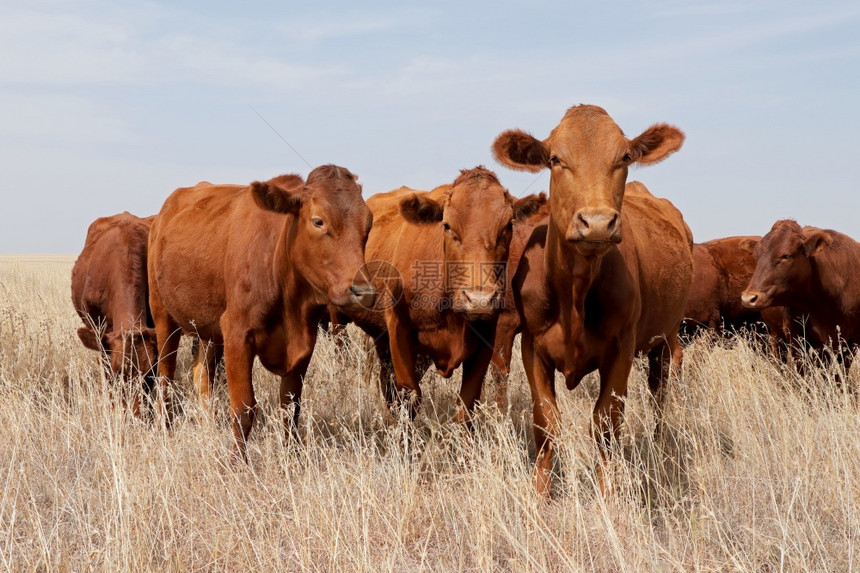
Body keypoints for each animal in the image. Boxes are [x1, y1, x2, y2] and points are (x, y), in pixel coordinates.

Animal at [147, 165, 372, 456]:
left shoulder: (304, 344)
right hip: (163, 317)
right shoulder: (237, 334)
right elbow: (244, 408)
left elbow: (290, 407)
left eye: (368, 223)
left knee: (202, 376)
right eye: (318, 221)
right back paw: (164, 429)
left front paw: (292, 456)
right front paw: (236, 461)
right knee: (165, 378)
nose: (363, 291)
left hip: (207, 330)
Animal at [344, 165, 540, 420]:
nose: (479, 300)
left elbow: (467, 402)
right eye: (447, 225)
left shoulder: (487, 336)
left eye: (508, 226)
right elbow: (408, 394)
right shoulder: (399, 330)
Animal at [490, 104, 692, 492]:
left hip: (666, 337)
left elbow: (605, 424)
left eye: (624, 157)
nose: (597, 223)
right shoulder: (531, 346)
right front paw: (539, 493)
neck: (575, 294)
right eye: (555, 159)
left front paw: (607, 493)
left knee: (660, 393)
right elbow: (546, 422)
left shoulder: (621, 348)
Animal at [740, 219, 860, 370]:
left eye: (785, 256)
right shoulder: (796, 338)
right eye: (755, 256)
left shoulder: (851, 343)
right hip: (775, 335)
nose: (748, 298)